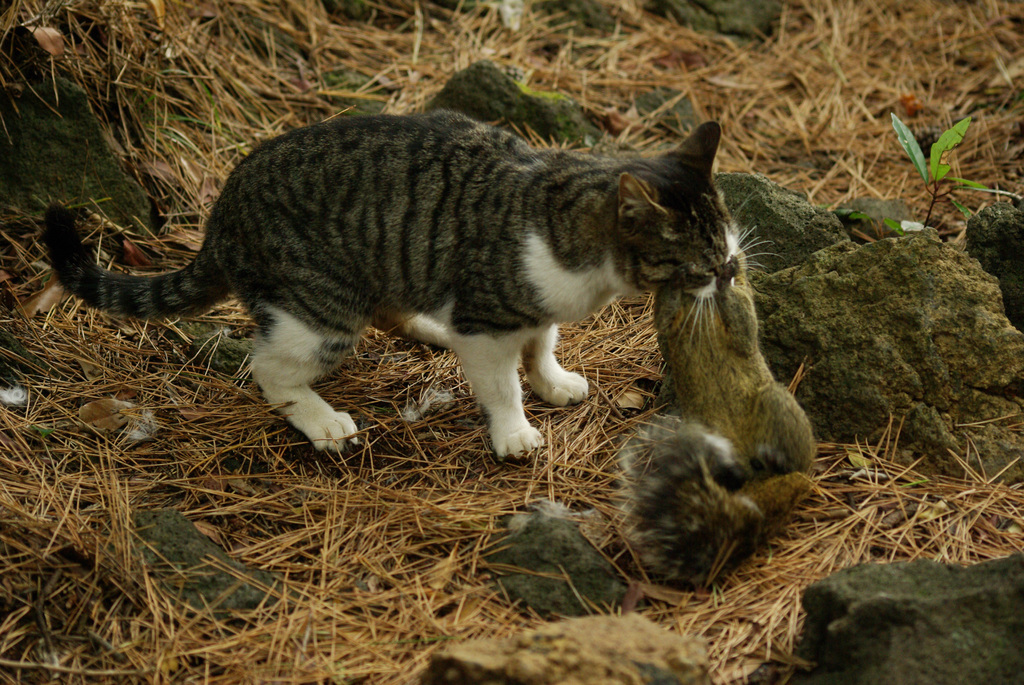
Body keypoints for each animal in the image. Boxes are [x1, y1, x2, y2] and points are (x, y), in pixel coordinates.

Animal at [46, 109, 737, 456]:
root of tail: (221, 217)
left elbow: (542, 343)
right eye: (705, 264)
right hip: (320, 307)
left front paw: (553, 381)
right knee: (270, 368)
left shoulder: (531, 307)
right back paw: (321, 421)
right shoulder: (485, 321)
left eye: (730, 247)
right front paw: (514, 430)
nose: (732, 272)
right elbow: (502, 384)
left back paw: (428, 328)